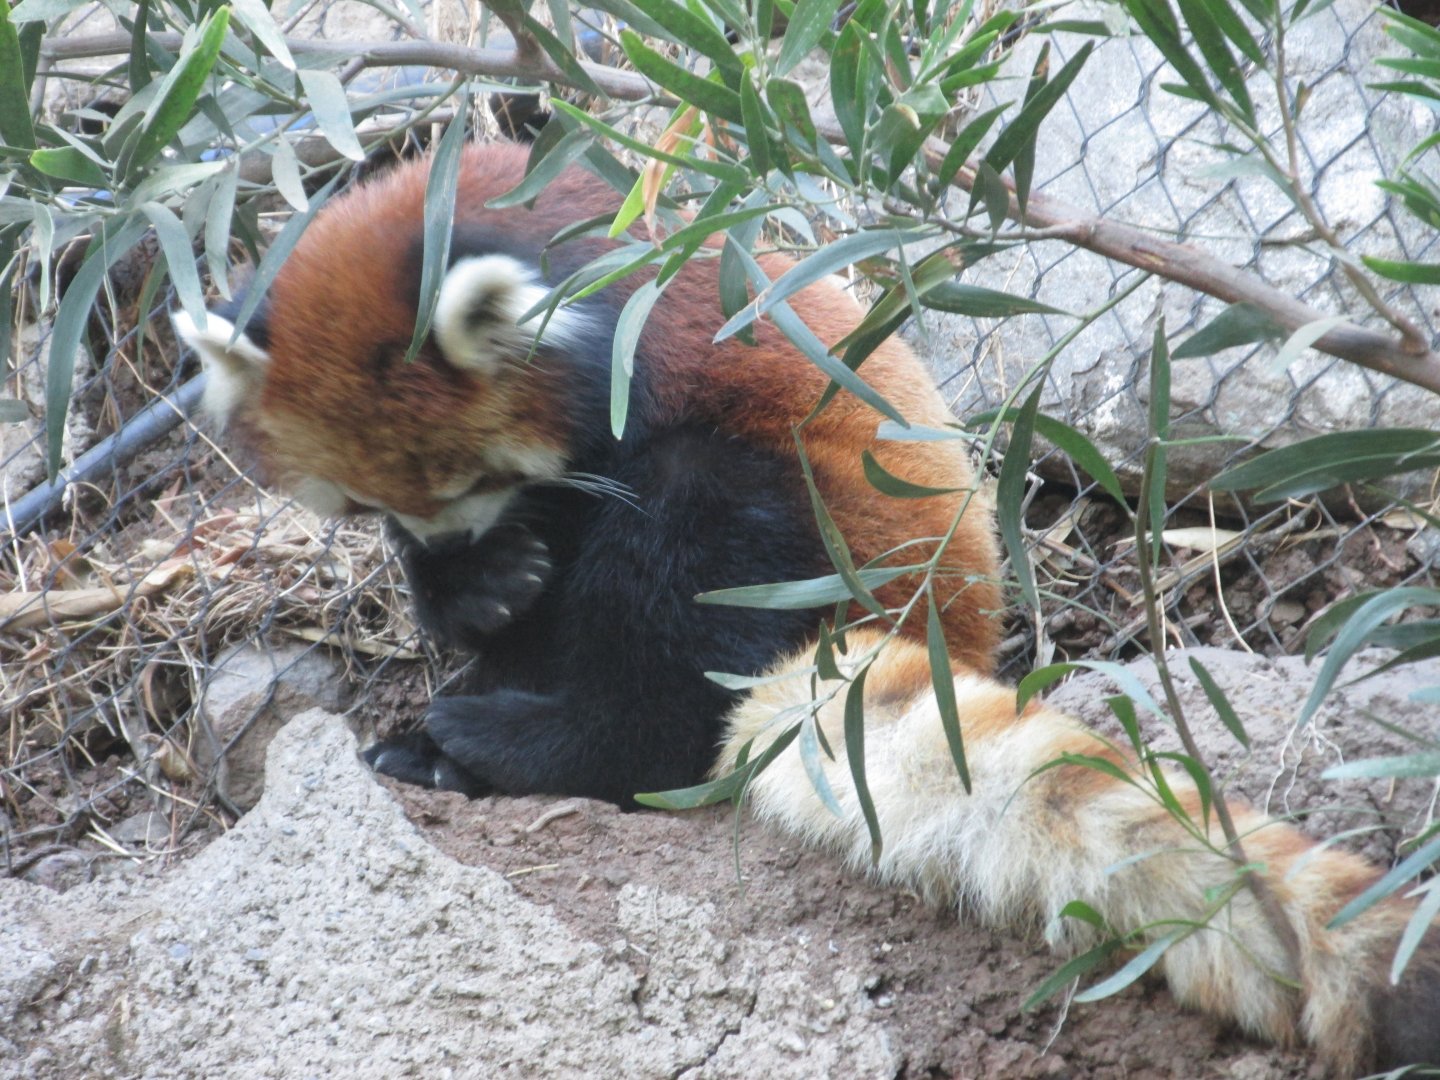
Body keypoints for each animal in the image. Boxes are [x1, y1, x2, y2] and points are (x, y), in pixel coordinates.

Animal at [177, 140, 1438, 1074]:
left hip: (815, 531)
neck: (449, 216)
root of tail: (933, 629)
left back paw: (507, 737)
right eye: (368, 504)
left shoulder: (643, 333)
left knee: (682, 577)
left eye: (469, 481)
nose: (458, 542)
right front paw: (473, 589)